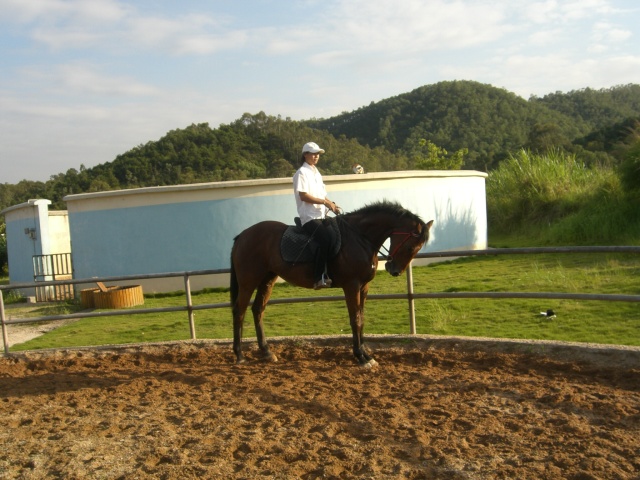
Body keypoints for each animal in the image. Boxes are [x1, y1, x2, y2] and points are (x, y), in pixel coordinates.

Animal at [230, 199, 436, 368]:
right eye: (410, 247)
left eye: (417, 249)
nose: (394, 270)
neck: (360, 238)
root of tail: (243, 235)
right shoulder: (352, 286)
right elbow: (355, 319)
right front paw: (360, 357)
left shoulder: (364, 287)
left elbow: (361, 318)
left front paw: (366, 355)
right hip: (248, 281)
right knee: (239, 311)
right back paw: (239, 355)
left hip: (268, 279)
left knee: (258, 309)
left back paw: (266, 352)